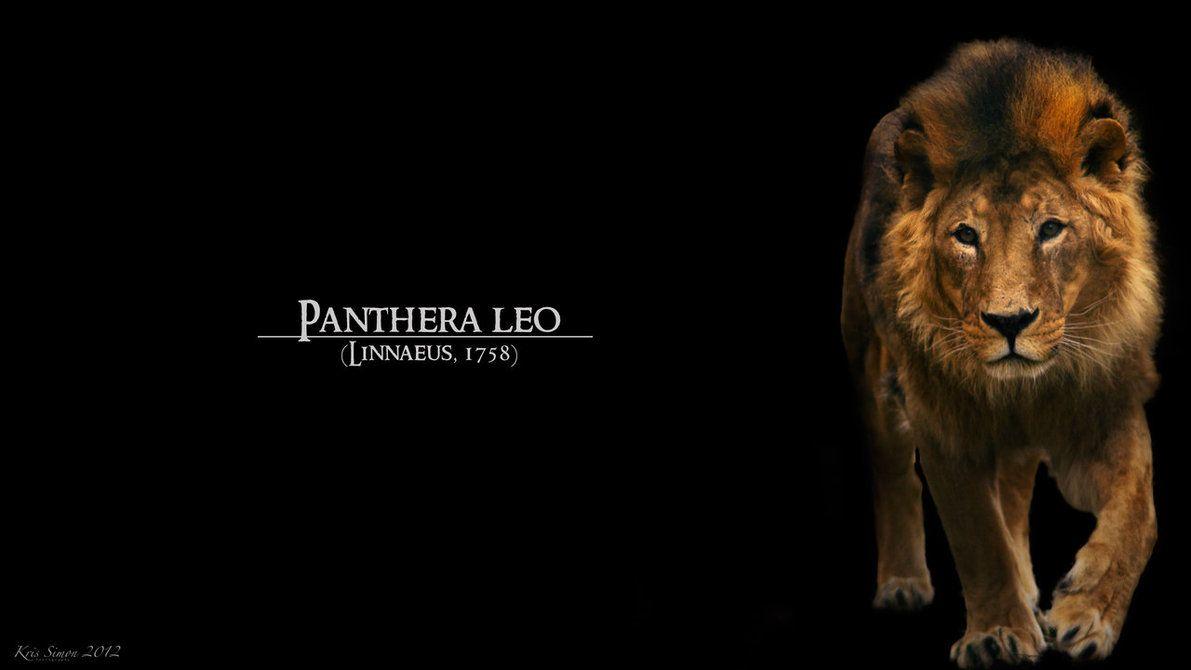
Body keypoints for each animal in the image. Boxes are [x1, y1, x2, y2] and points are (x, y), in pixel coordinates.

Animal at [841, 40, 1160, 667]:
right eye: (965, 235)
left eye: (1052, 229)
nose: (1009, 322)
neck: (1024, 390)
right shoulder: (943, 419)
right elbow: (976, 534)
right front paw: (996, 635)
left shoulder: (1106, 402)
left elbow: (1139, 511)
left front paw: (1087, 614)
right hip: (869, 366)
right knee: (893, 472)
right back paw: (903, 583)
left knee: (1012, 491)